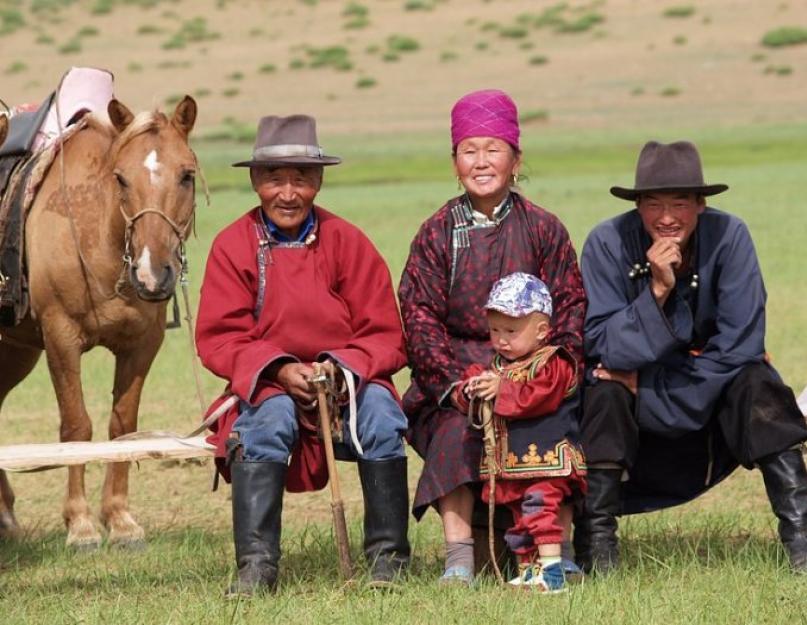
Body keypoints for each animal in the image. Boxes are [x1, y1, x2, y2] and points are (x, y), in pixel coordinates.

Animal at [0, 96, 197, 544]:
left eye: (187, 175)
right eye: (120, 178)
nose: (152, 273)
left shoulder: (143, 344)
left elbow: (123, 428)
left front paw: (121, 520)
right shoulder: (60, 338)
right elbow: (76, 428)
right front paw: (81, 525)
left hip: (15, 353)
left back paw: (6, 518)